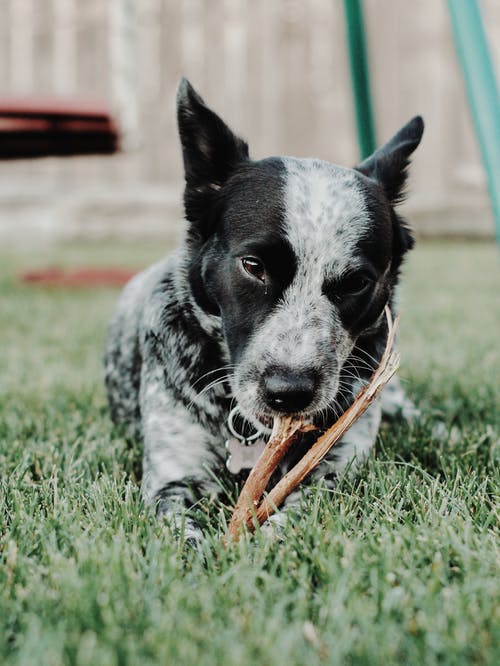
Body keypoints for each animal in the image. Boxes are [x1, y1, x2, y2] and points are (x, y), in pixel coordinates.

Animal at [103, 78, 424, 544]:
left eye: (356, 283)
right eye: (253, 265)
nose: (288, 392)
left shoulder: (335, 467)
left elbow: (296, 512)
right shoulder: (174, 476)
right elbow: (184, 536)